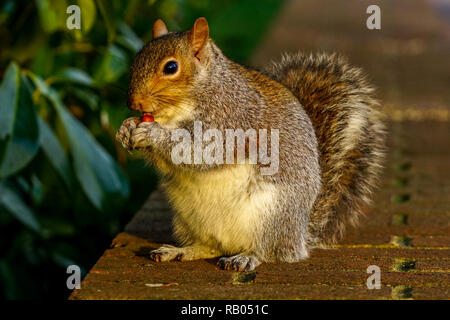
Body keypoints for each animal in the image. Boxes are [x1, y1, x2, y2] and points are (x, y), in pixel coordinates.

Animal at [115, 17, 384, 272]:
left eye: (171, 67)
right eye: (135, 59)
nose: (133, 102)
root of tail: (299, 235)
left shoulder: (230, 120)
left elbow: (199, 152)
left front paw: (153, 133)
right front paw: (126, 128)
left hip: (270, 215)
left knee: (269, 251)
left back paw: (247, 257)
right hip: (187, 218)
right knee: (211, 247)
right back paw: (180, 251)